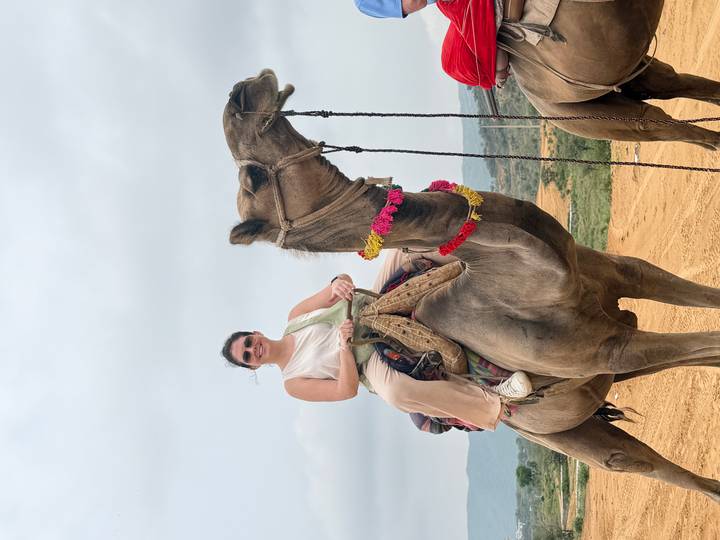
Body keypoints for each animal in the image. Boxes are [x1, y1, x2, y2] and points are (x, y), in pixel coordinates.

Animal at [222, 69, 719, 502]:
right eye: (254, 177)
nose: (242, 90)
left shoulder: (622, 277)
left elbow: (669, 288)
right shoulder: (607, 347)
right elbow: (707, 345)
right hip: (563, 422)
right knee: (628, 460)